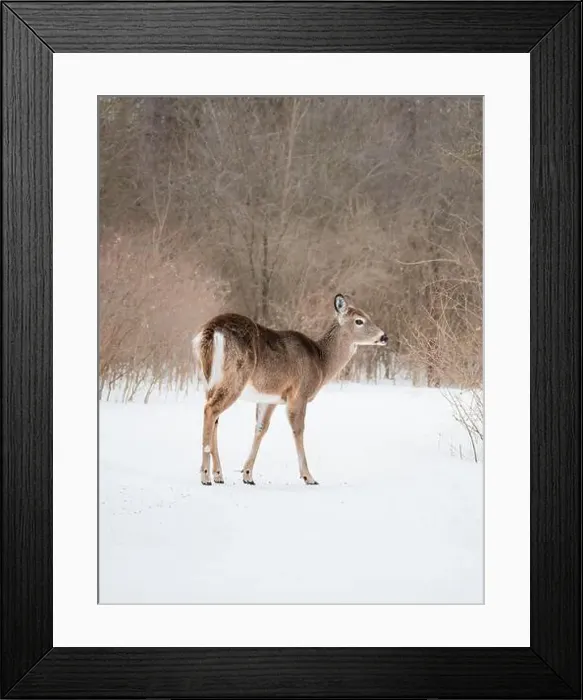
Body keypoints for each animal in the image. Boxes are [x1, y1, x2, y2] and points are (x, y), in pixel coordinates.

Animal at [192, 294, 388, 486]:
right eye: (359, 320)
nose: (384, 336)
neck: (321, 363)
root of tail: (211, 330)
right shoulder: (299, 393)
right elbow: (298, 429)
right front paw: (309, 476)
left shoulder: (270, 397)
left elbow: (261, 428)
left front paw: (247, 475)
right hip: (235, 376)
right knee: (211, 410)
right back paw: (205, 476)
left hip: (208, 380)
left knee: (215, 416)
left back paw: (218, 475)